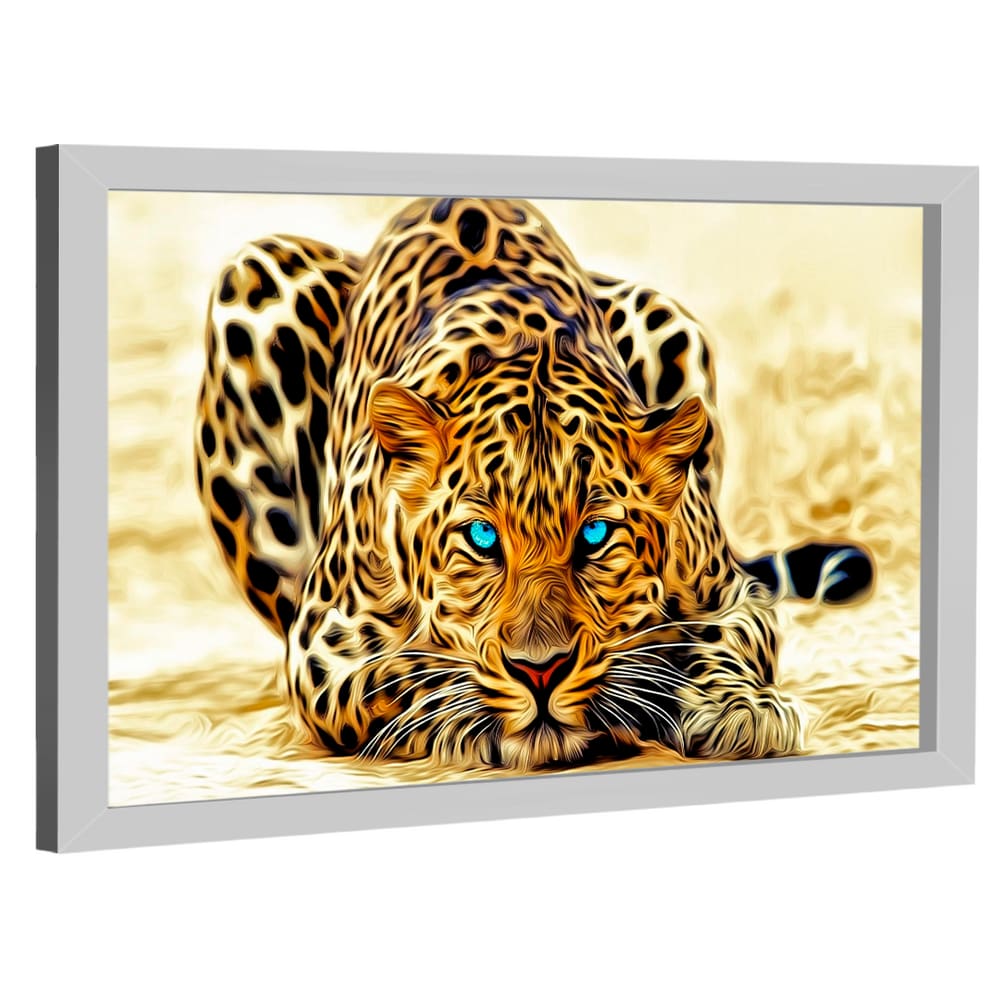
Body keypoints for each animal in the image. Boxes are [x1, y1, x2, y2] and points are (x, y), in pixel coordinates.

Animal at [194, 197, 873, 771]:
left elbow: (727, 642)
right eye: (481, 539)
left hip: (665, 316)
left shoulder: (731, 594)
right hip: (253, 281)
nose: (540, 671)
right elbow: (407, 676)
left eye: (595, 535)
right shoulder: (325, 646)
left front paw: (741, 708)